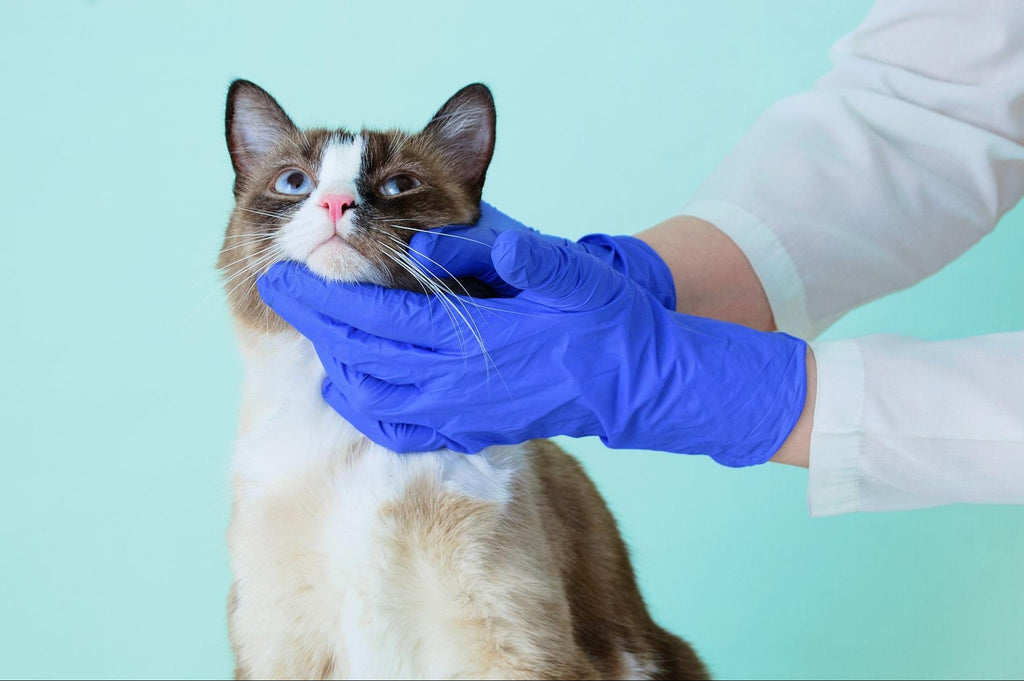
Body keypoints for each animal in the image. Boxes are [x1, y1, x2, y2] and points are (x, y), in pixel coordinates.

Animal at [220, 80, 708, 679]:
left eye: (399, 185)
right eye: (294, 183)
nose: (335, 204)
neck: (355, 431)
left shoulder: (511, 646)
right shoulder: (278, 644)